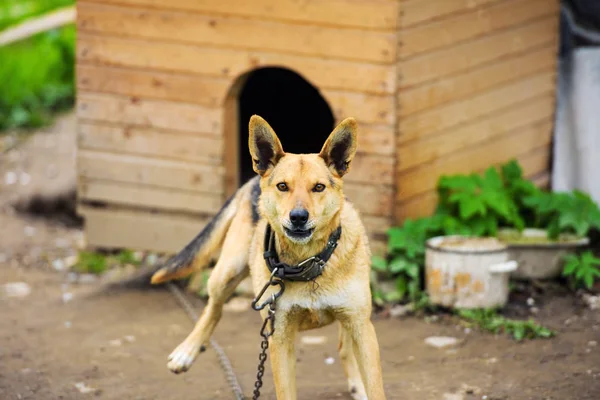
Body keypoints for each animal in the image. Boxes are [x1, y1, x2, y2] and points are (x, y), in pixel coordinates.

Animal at [149, 114, 384, 398]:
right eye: (283, 186)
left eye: (318, 187)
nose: (298, 217)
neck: (309, 263)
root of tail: (253, 180)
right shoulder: (279, 338)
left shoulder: (362, 327)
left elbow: (374, 384)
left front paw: (364, 386)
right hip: (227, 271)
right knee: (213, 309)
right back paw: (187, 351)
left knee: (344, 346)